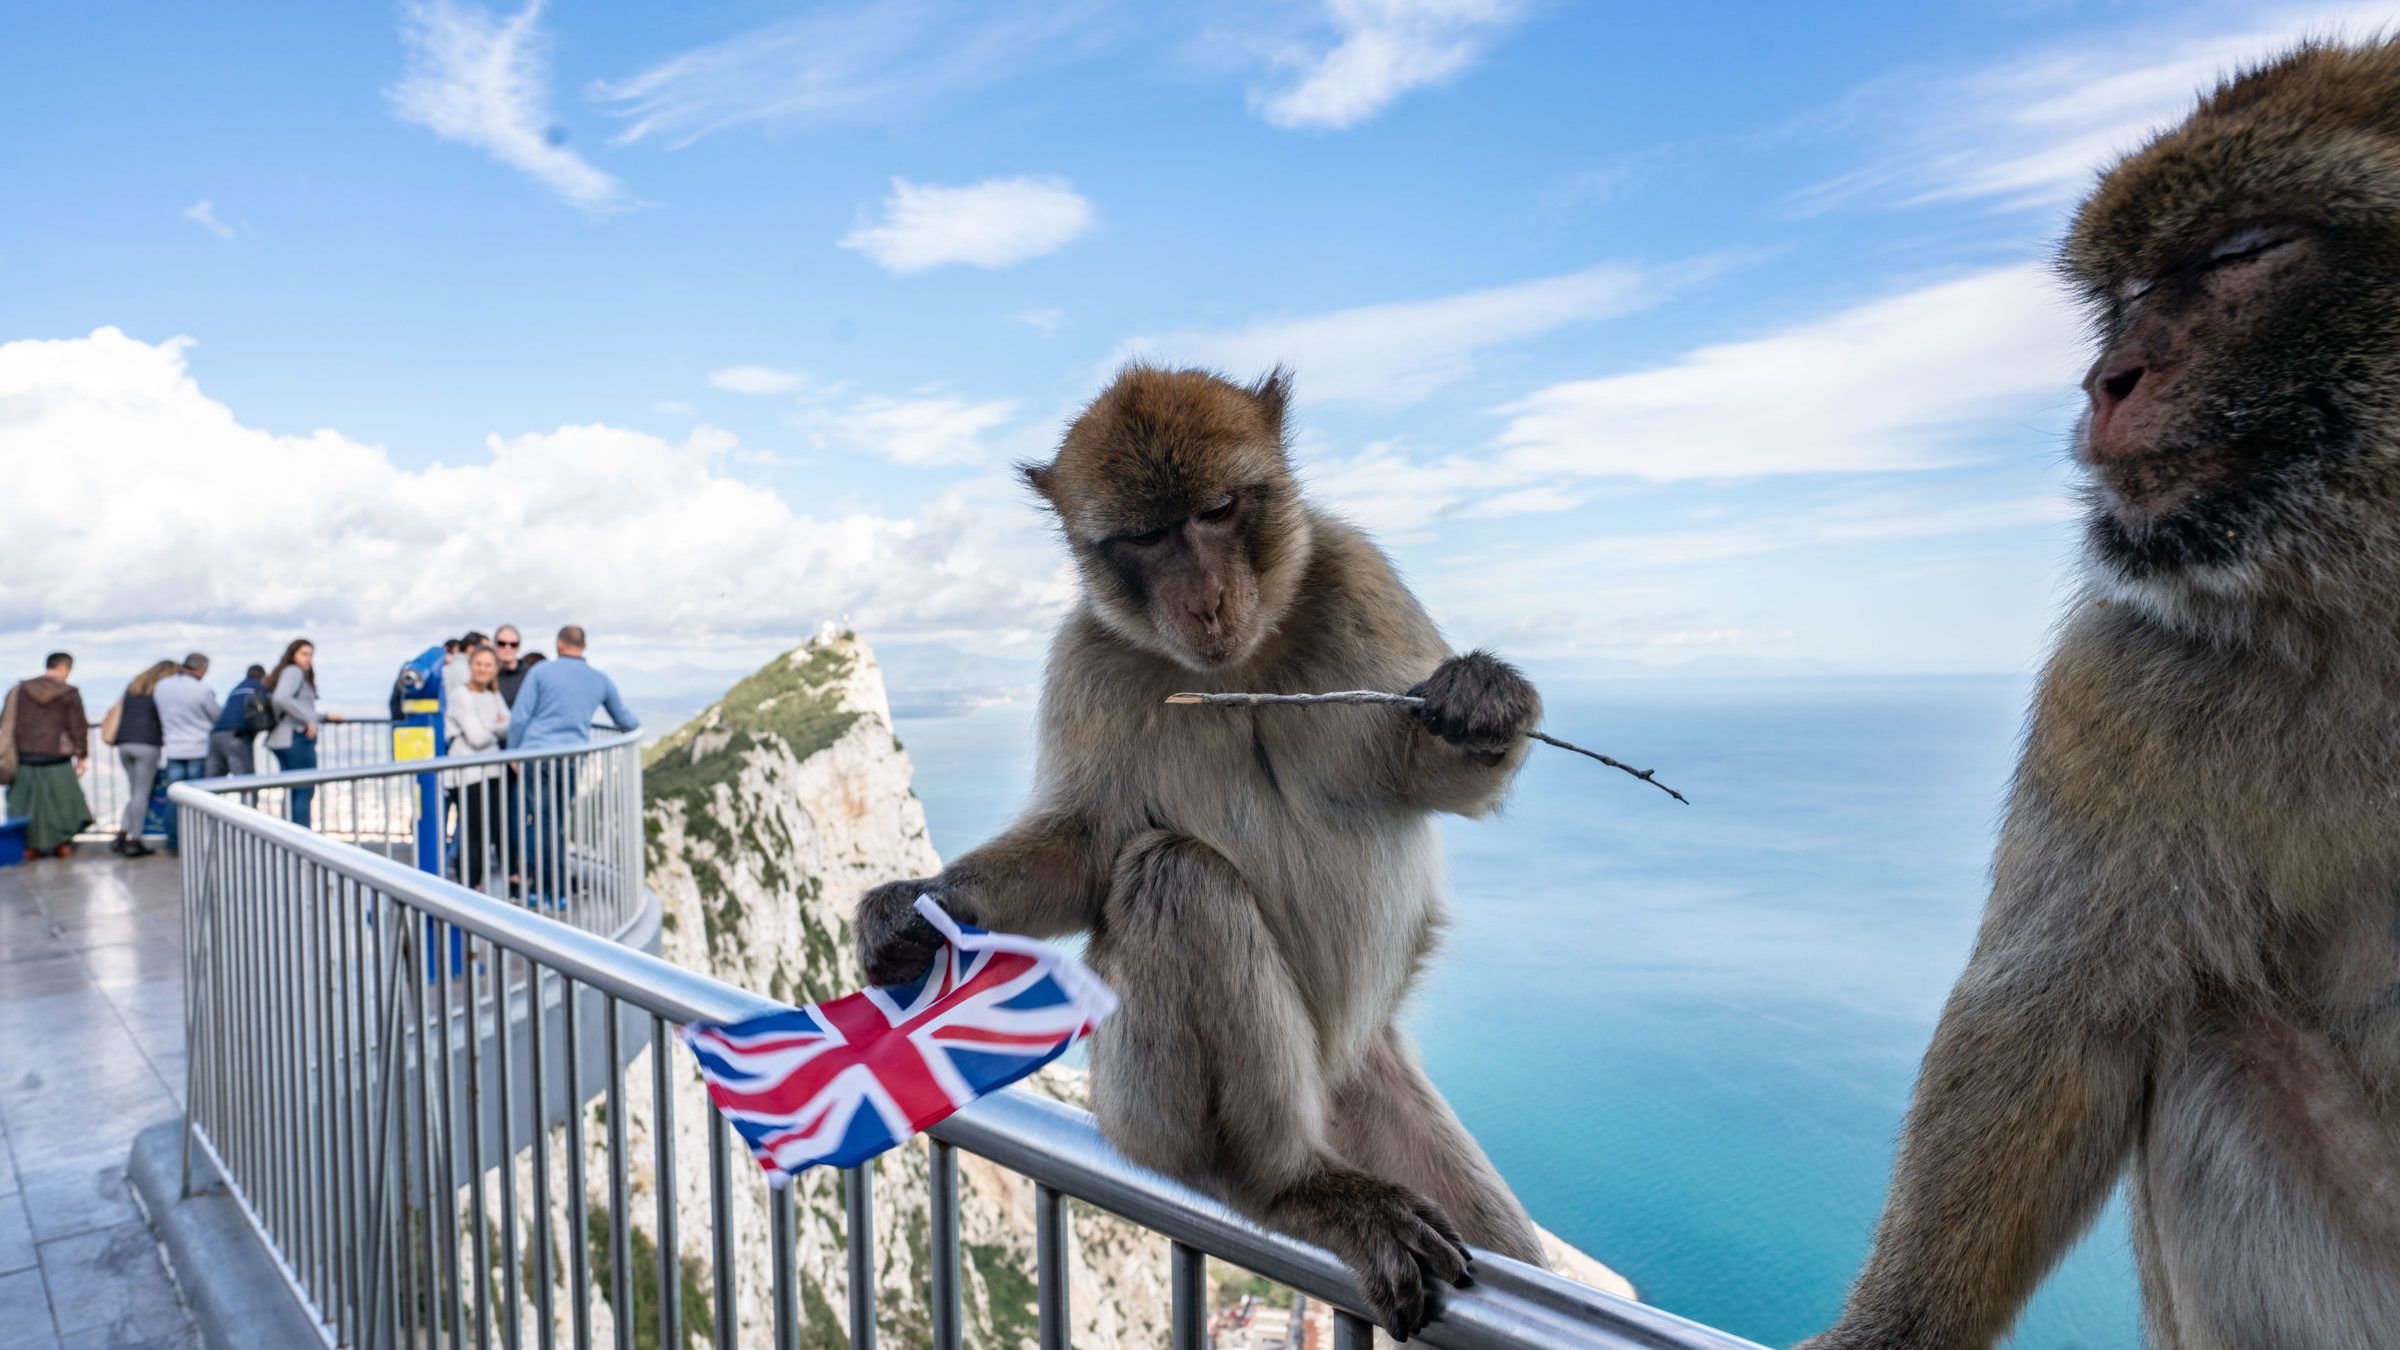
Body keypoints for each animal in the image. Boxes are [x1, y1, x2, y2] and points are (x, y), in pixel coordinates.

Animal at [854, 362, 1545, 1325]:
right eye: (1147, 537)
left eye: (1217, 511)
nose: (1207, 600)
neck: (1239, 668)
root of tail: (1331, 1077)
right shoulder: (1087, 659)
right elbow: (1089, 849)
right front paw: (916, 909)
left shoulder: (1357, 575)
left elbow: (1434, 782)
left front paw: (1483, 702)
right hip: (1135, 1104)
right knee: (1173, 877)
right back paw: (1287, 1184)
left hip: (1366, 1089)